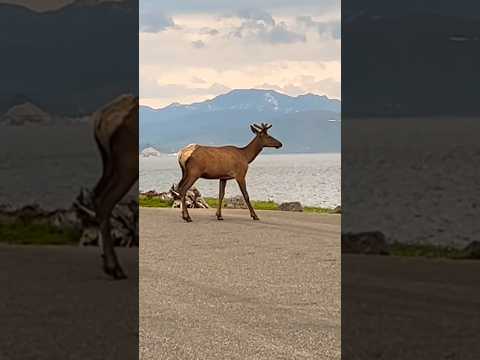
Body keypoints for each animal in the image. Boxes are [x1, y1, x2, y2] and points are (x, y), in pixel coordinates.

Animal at [91, 94, 138, 280]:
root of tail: (101, 118)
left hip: (109, 163)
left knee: (96, 195)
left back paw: (106, 262)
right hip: (128, 164)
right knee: (104, 202)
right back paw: (114, 267)